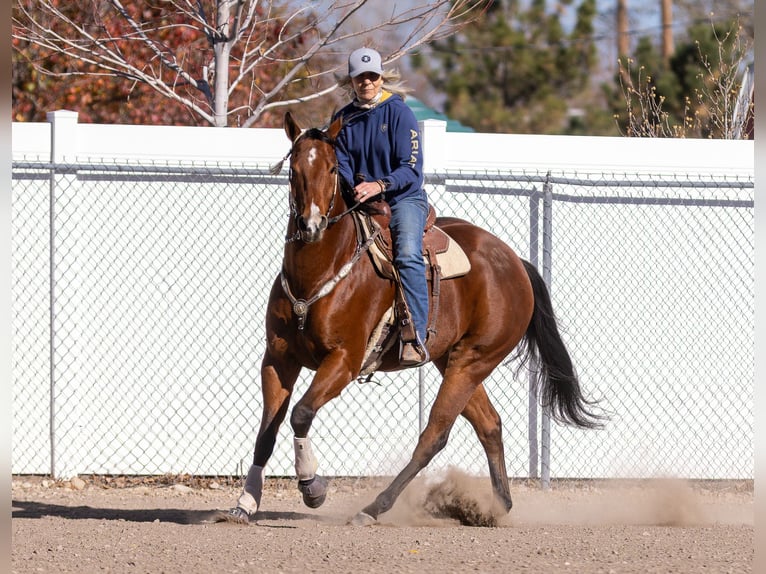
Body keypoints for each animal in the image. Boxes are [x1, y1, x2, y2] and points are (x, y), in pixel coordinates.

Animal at [222, 111, 604, 526]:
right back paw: (496, 507)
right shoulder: (278, 358)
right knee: (489, 424)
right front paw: (245, 502)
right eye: (293, 169)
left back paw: (374, 508)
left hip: (474, 360)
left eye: (332, 168)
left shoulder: (343, 360)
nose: (311, 225)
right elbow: (267, 431)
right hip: (452, 359)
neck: (318, 276)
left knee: (434, 435)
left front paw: (312, 488)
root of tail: (515, 262)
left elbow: (301, 413)